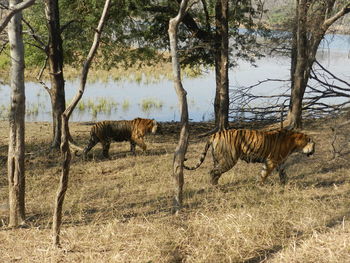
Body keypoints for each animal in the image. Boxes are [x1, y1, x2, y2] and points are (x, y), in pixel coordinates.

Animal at [183, 129, 314, 185]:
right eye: (314, 145)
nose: (313, 151)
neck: (296, 144)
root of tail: (214, 134)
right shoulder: (271, 161)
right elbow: (264, 173)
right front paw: (260, 185)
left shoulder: (280, 162)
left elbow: (283, 173)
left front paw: (284, 184)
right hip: (229, 159)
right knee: (213, 172)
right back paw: (215, 186)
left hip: (218, 159)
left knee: (215, 171)